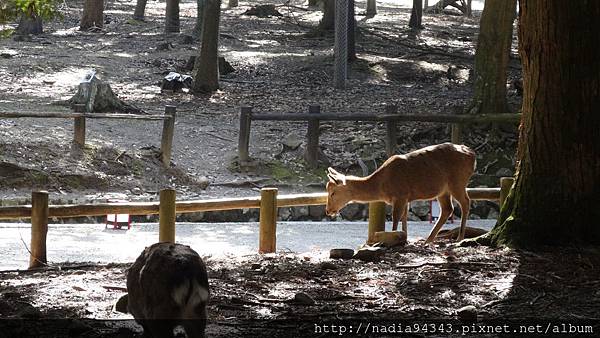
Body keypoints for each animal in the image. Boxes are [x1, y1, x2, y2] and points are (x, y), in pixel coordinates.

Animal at [326, 143, 476, 243]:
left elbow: (395, 218)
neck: (382, 185)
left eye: (333, 192)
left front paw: (392, 239)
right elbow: (404, 217)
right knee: (447, 209)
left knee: (465, 202)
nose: (328, 210)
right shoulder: (406, 198)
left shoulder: (400, 194)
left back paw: (460, 237)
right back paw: (429, 239)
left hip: (457, 182)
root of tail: (472, 155)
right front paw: (404, 238)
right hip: (443, 190)